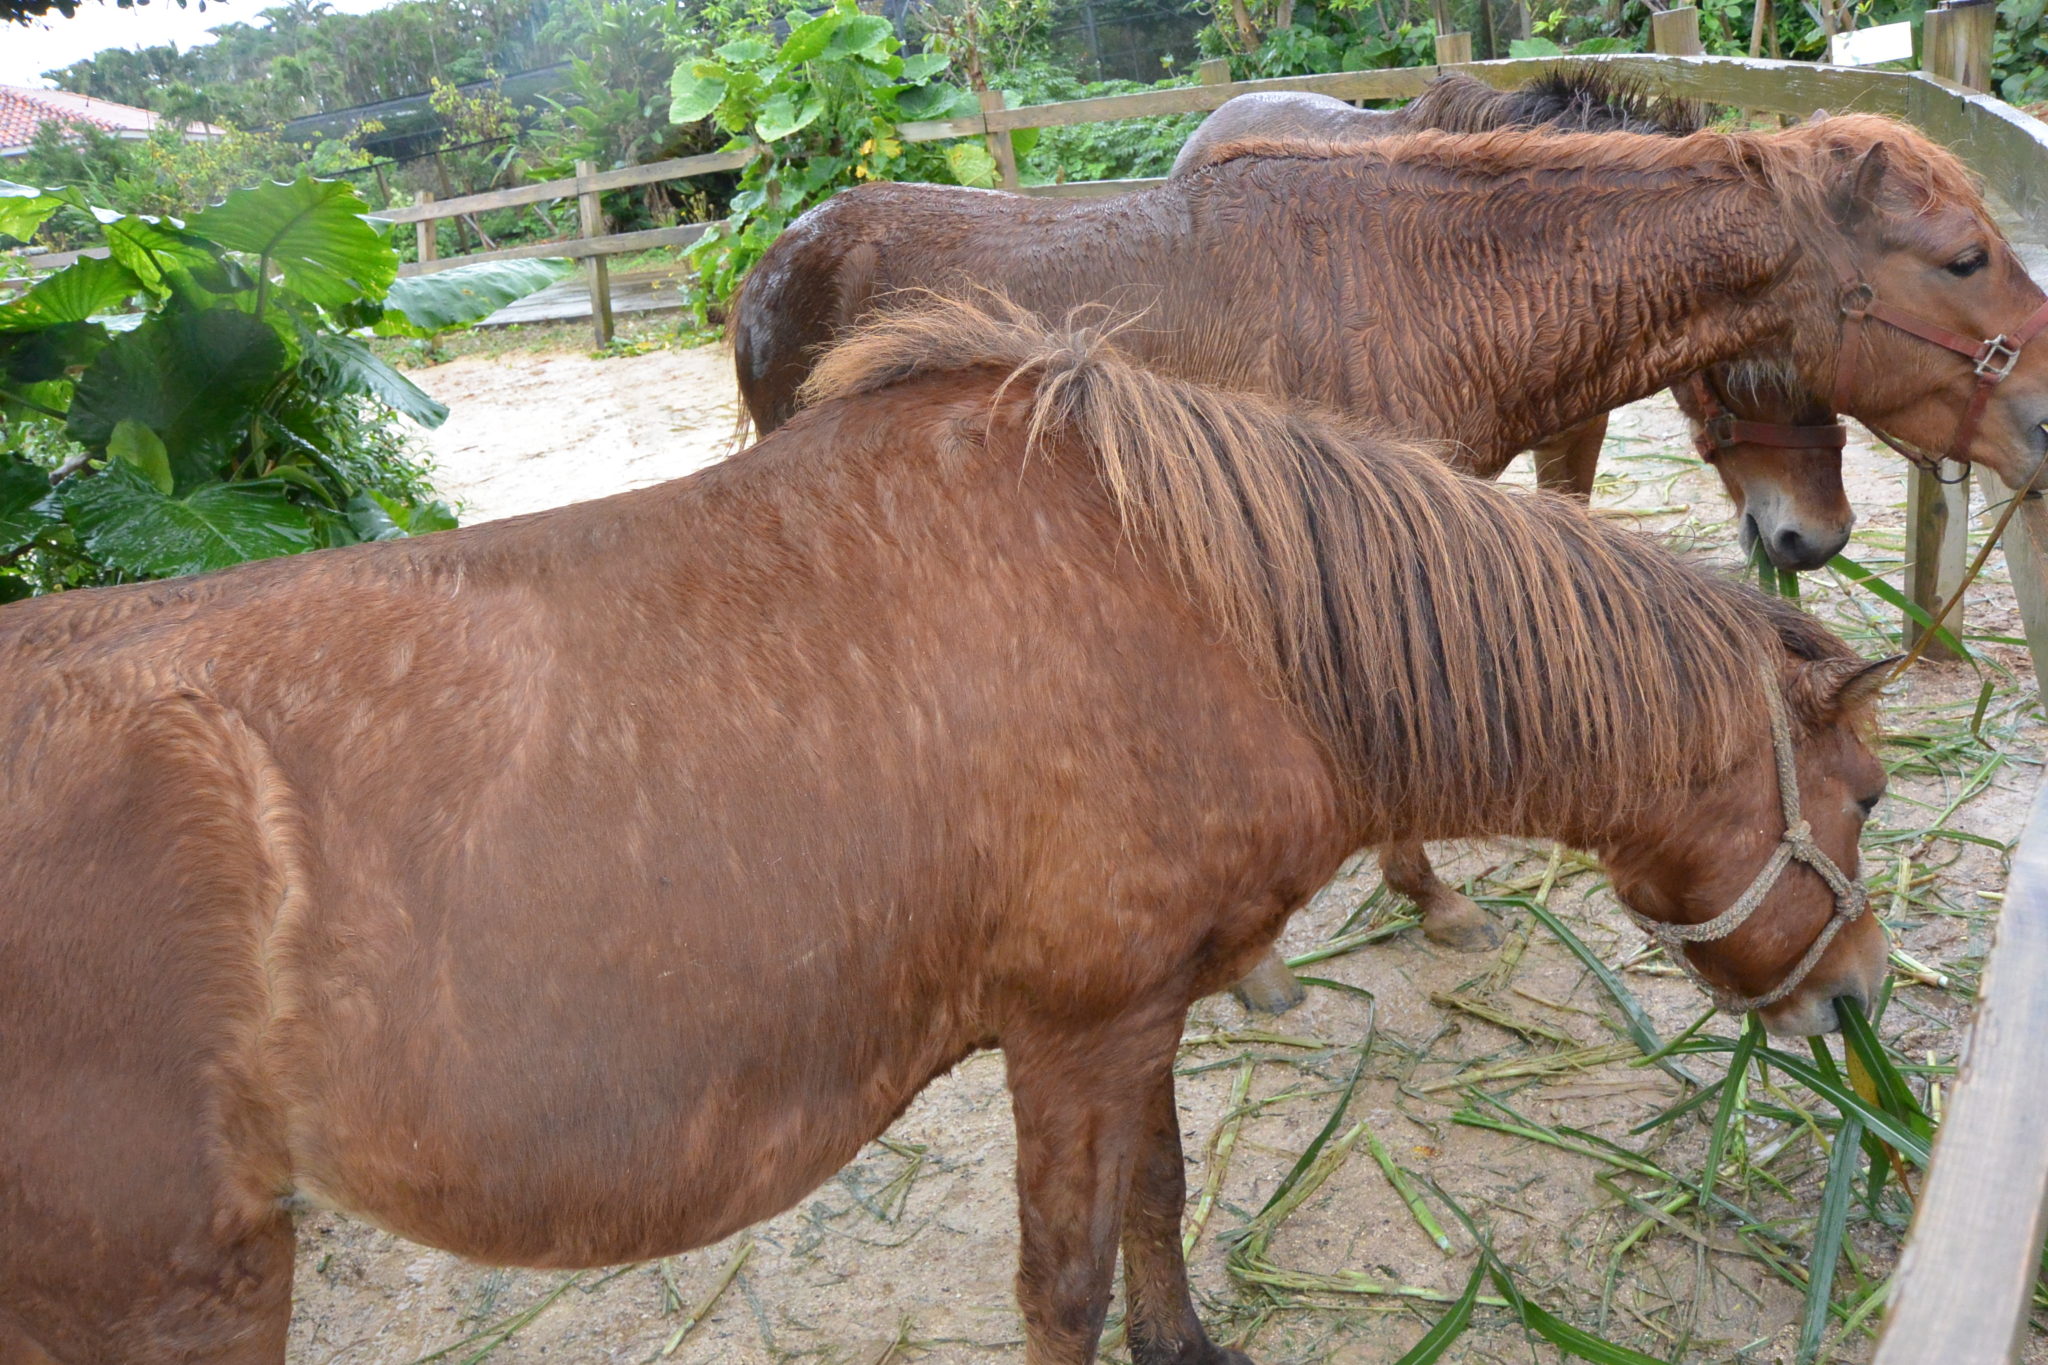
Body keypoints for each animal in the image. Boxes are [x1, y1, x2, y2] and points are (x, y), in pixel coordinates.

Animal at [0, 296, 1884, 1365]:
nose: (1860, 999)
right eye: (1864, 797)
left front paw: (1189, 1344)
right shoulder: (1069, 1032)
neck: (1195, 600)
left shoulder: (1142, 1015)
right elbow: (1059, 1282)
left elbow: (1157, 1201)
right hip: (181, 1293)